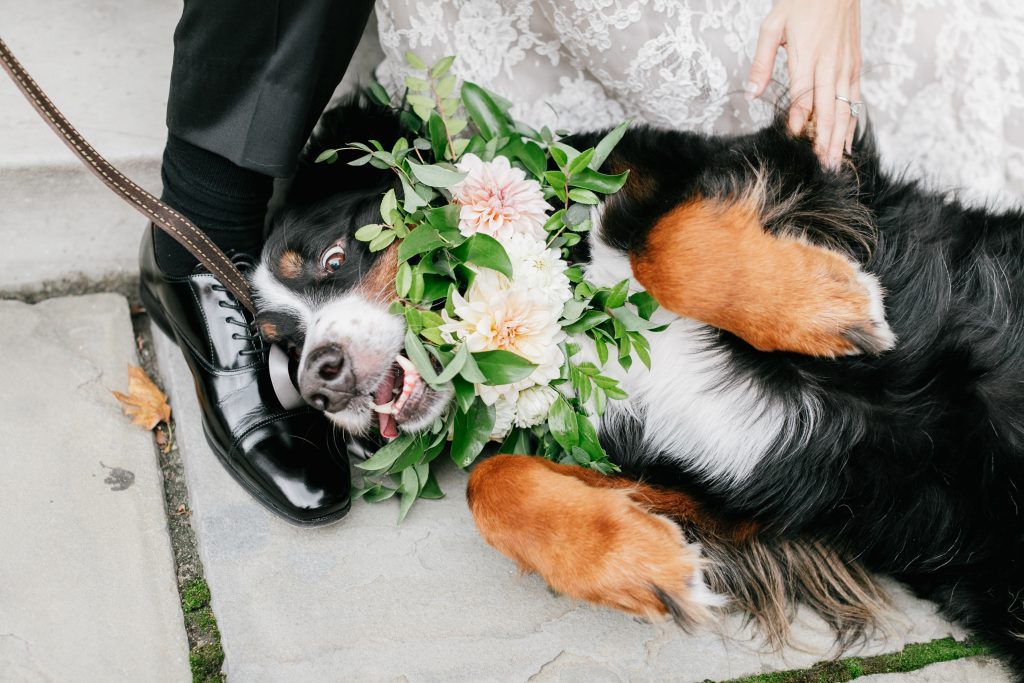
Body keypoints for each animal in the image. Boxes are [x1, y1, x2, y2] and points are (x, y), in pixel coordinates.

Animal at [247, 98, 1024, 675]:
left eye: (334, 258)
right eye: (283, 344)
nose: (319, 384)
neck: (570, 329)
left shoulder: (780, 168)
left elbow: (664, 245)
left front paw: (833, 306)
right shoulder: (724, 501)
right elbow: (490, 482)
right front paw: (646, 566)